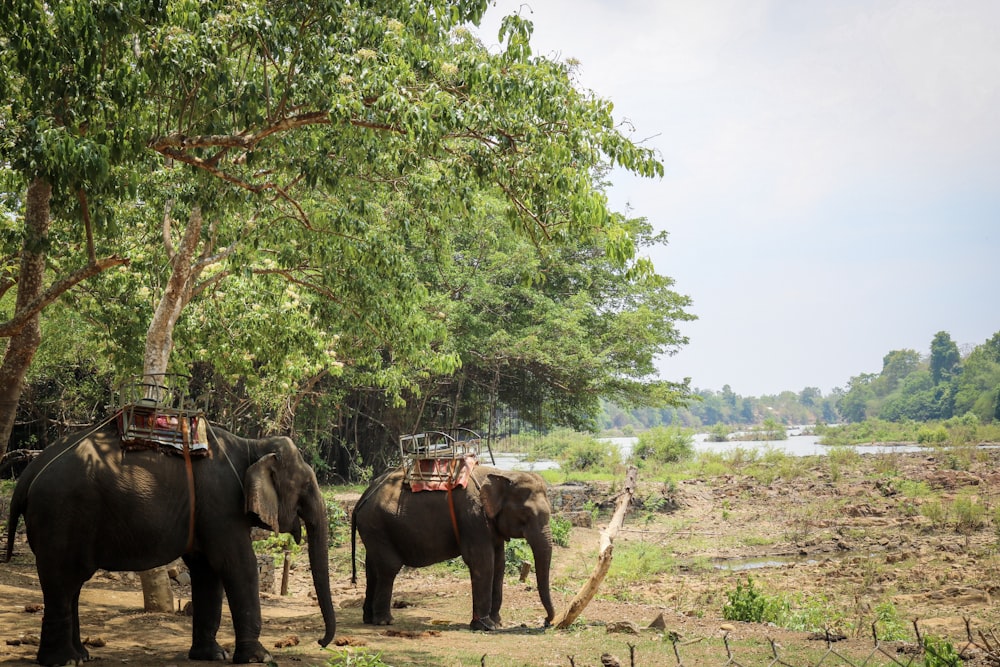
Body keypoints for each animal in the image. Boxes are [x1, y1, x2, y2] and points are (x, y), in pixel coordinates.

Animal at [2, 426, 340, 664]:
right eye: (305, 487)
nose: (321, 643)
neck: (251, 444)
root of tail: (28, 474)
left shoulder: (205, 512)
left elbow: (206, 571)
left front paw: (212, 656)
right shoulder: (221, 505)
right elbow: (236, 564)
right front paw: (260, 658)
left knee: (70, 584)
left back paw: (81, 656)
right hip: (62, 515)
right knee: (62, 581)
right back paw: (64, 661)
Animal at [352, 464, 556, 632]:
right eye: (526, 513)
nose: (546, 622)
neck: (502, 473)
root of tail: (363, 497)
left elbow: (499, 565)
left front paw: (497, 623)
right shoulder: (473, 518)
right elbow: (483, 563)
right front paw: (486, 626)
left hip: (373, 530)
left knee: (372, 569)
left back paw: (369, 619)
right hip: (377, 526)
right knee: (388, 568)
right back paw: (384, 622)